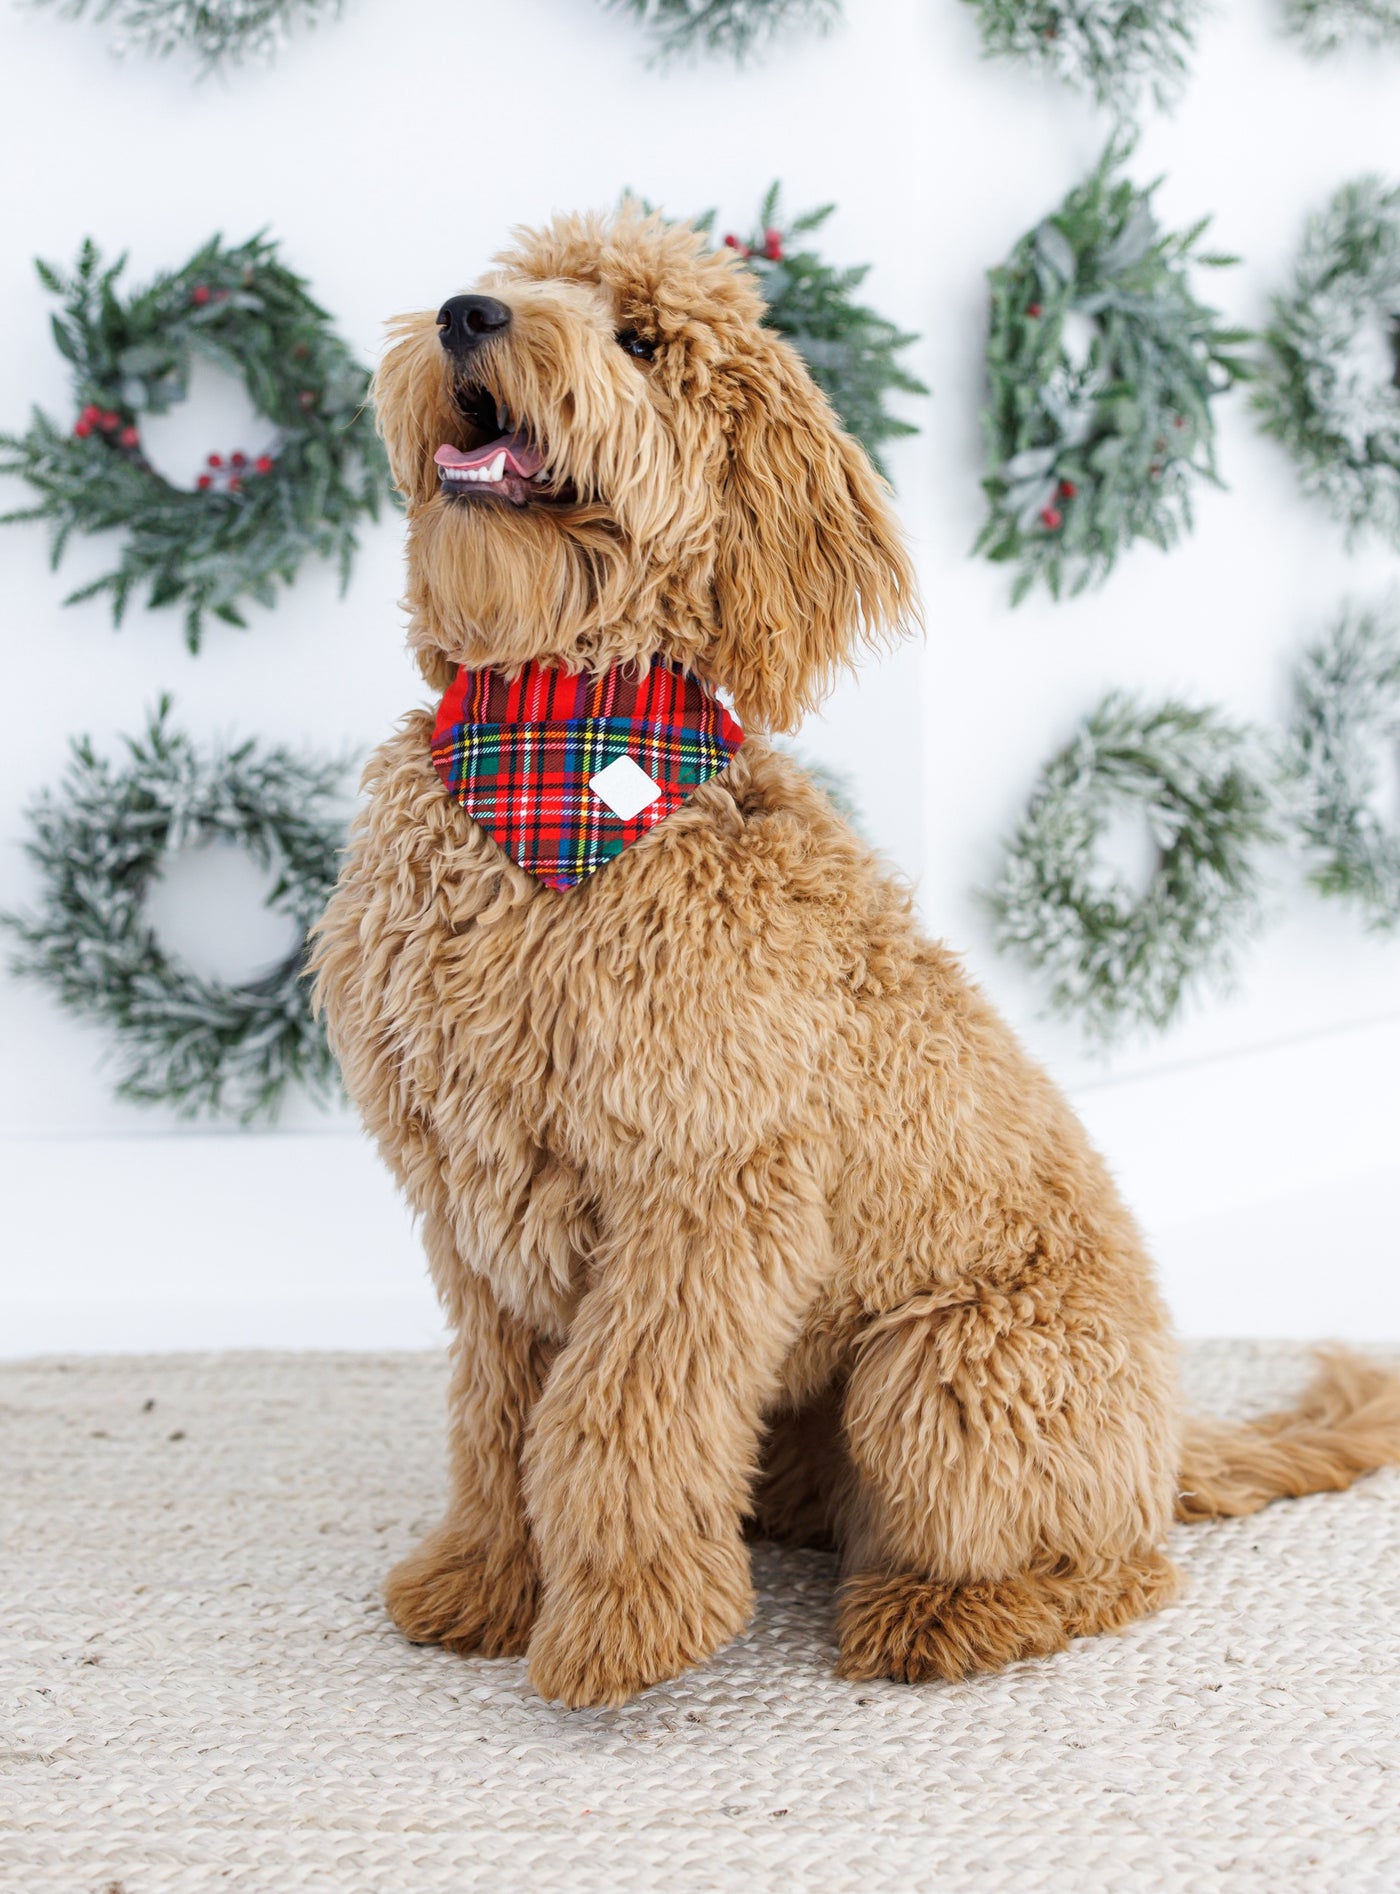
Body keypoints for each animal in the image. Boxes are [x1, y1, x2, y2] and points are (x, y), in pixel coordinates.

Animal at [314, 211, 1400, 1719]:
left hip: (943, 1364)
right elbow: (500, 1414)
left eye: (640, 339)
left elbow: (614, 1417)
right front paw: (483, 1580)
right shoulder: (476, 1204)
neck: (553, 759)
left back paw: (932, 1613)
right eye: (522, 278)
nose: (469, 312)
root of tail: (1169, 1429)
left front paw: (622, 1627)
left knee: (1115, 1566)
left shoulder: (704, 1196)